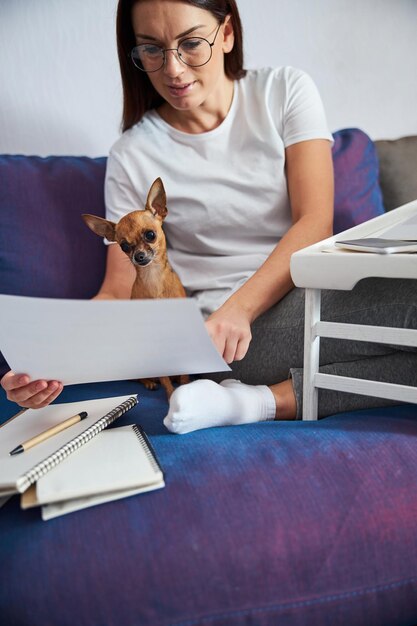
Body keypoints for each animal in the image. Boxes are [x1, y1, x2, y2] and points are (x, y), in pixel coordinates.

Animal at [81, 176, 188, 398]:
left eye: (150, 235)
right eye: (124, 246)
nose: (138, 256)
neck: (153, 278)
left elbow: (185, 371)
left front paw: (185, 385)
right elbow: (164, 377)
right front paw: (171, 395)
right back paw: (149, 381)